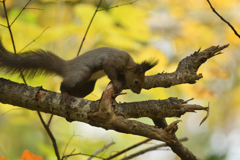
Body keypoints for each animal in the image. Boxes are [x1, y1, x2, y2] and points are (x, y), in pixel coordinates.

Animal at [0, 40, 158, 102]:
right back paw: (64, 93)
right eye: (136, 81)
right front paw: (116, 82)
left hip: (87, 86)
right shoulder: (112, 61)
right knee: (64, 85)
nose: (138, 92)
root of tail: (66, 66)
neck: (127, 63)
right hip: (81, 74)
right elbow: (110, 71)